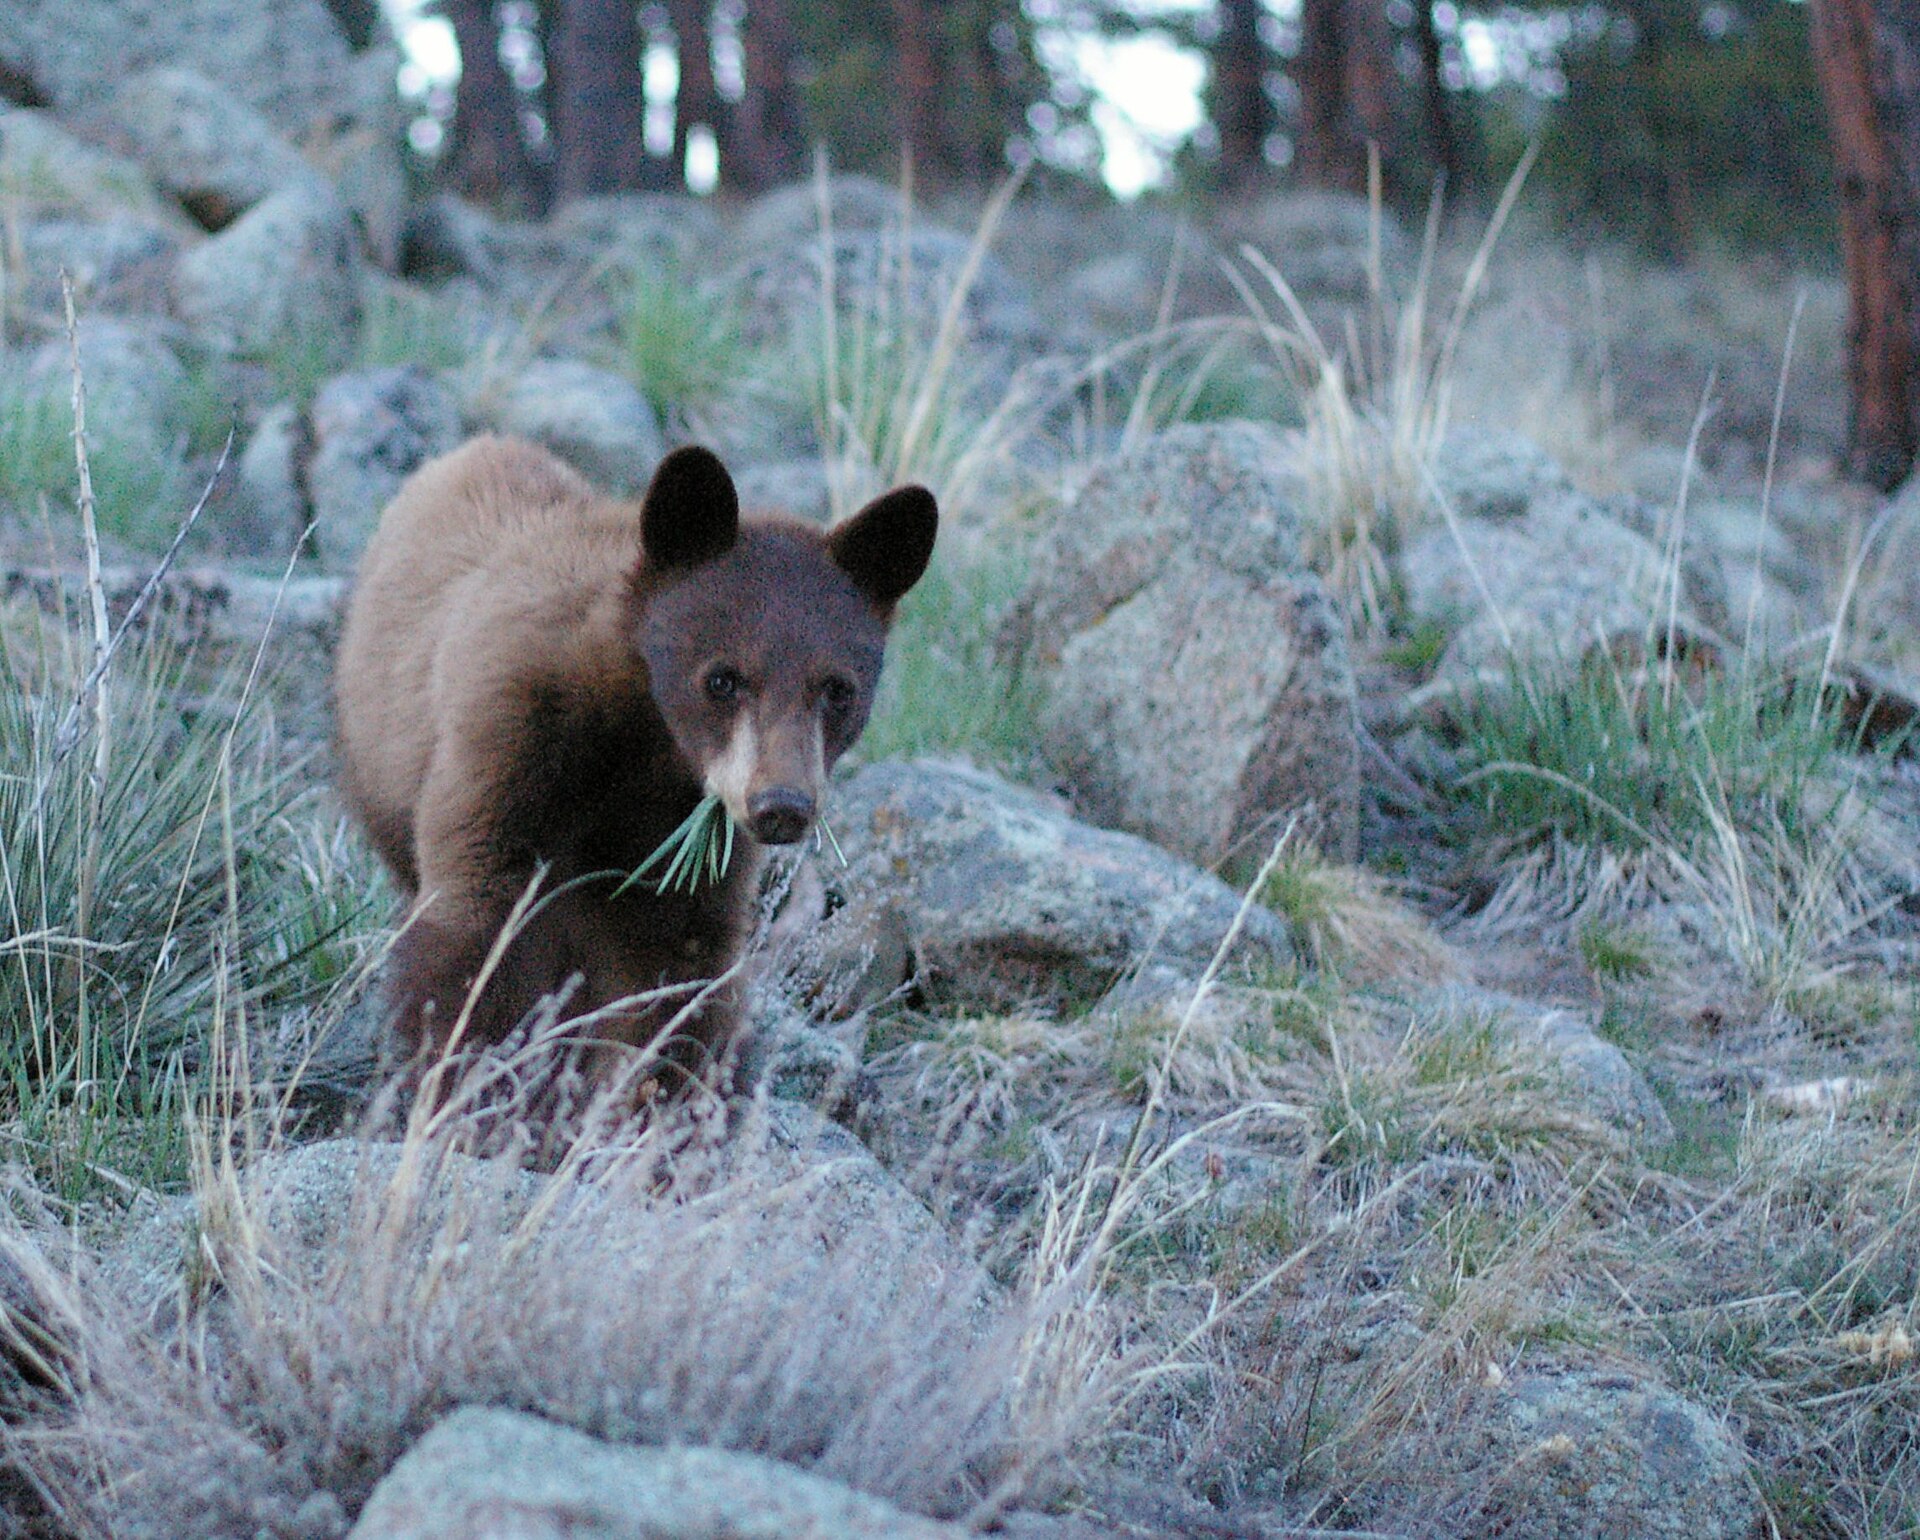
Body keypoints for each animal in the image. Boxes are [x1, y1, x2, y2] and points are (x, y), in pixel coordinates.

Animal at [333, 435, 936, 1099]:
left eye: (837, 689)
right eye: (722, 679)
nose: (782, 805)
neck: (644, 745)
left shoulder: (682, 844)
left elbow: (671, 971)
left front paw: (659, 1100)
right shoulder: (507, 740)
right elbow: (479, 927)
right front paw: (470, 1089)